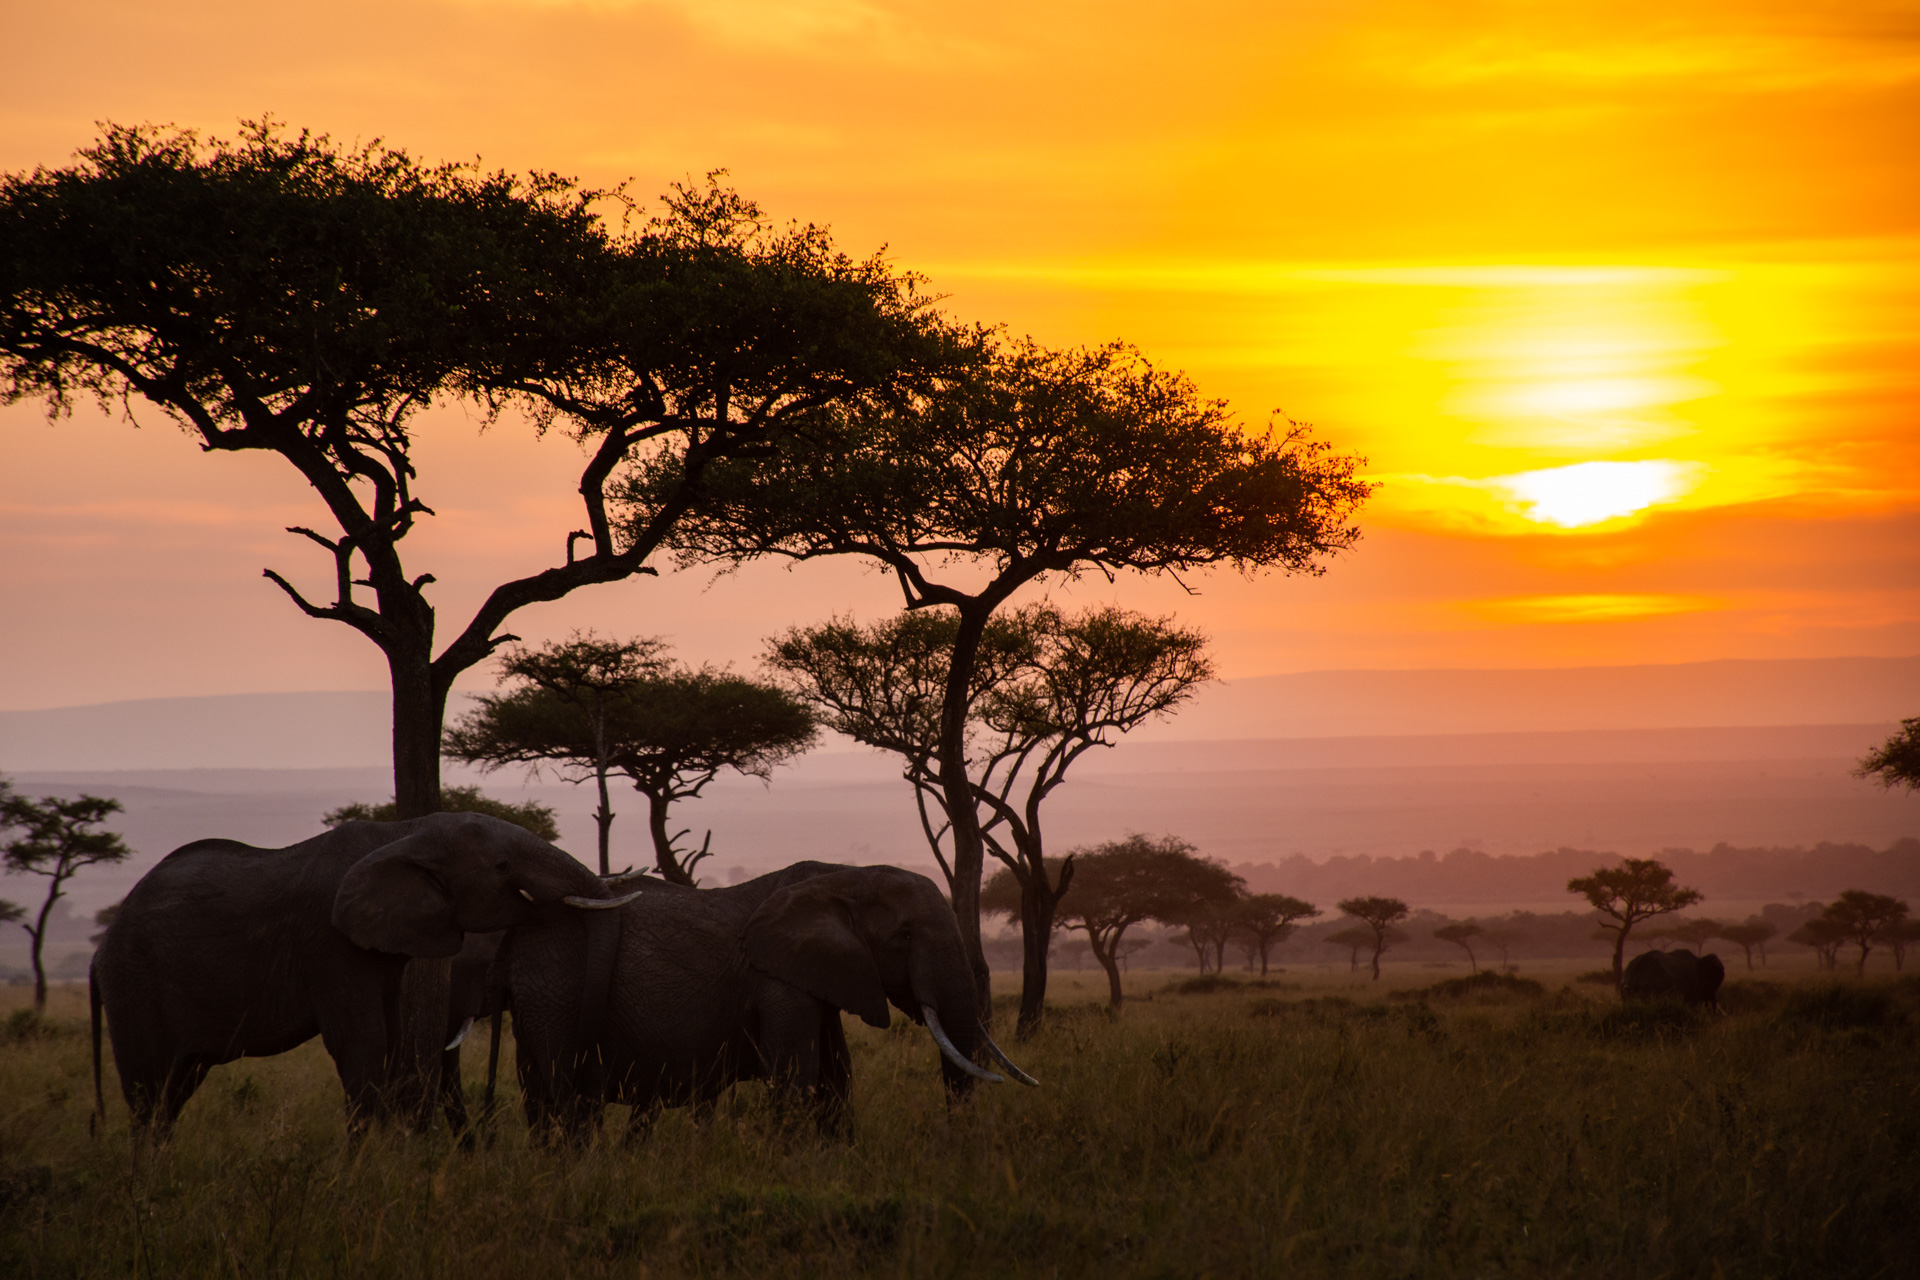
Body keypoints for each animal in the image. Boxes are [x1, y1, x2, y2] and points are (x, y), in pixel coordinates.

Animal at [93, 817, 633, 1136]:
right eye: (502, 865)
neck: (404, 834)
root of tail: (99, 952)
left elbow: (392, 1043)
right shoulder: (330, 942)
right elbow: (364, 1044)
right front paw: (361, 1170)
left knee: (175, 1089)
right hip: (134, 979)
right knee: (147, 1091)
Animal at [337, 852, 1044, 1143]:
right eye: (902, 937)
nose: (958, 1140)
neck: (841, 876)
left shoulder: (814, 979)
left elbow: (835, 1078)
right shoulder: (778, 978)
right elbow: (799, 1076)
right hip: (554, 982)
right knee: (553, 1089)